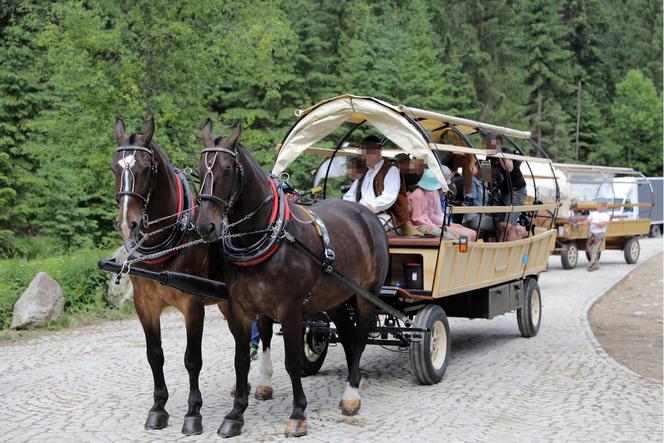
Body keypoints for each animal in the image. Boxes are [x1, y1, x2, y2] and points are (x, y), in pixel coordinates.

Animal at [111, 119, 274, 436]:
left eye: (145, 169)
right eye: (114, 168)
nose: (127, 224)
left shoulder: (192, 305)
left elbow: (192, 360)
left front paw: (193, 413)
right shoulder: (145, 305)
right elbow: (154, 355)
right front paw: (158, 408)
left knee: (265, 335)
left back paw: (264, 383)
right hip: (228, 304)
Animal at [193, 120, 390, 438]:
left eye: (227, 170)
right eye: (199, 171)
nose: (205, 226)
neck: (269, 236)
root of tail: (365, 213)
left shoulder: (290, 311)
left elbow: (293, 361)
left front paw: (298, 413)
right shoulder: (241, 310)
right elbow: (241, 360)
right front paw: (236, 414)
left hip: (365, 295)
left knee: (359, 338)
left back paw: (351, 395)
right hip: (335, 297)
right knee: (347, 336)